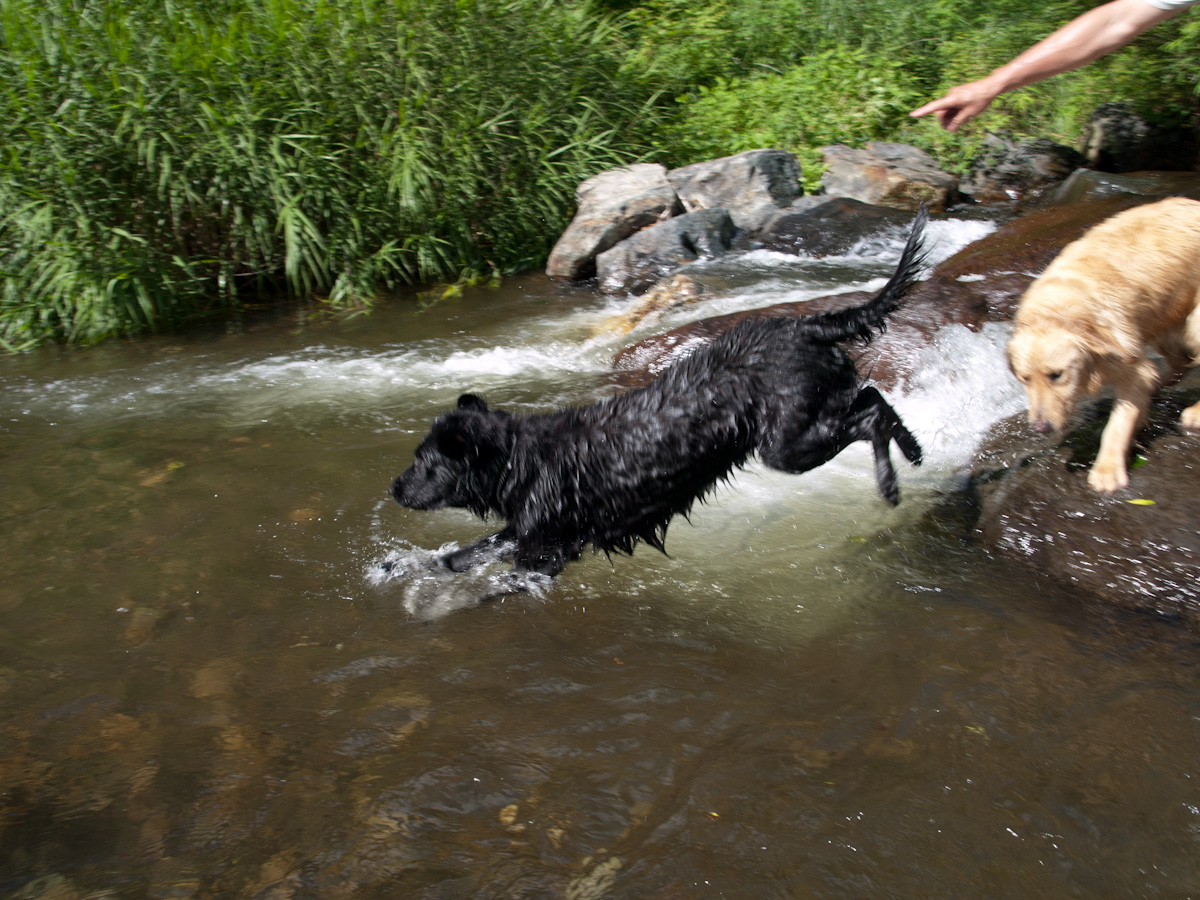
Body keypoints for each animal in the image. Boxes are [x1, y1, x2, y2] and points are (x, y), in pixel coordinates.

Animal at [393, 210, 926, 578]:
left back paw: (890, 484)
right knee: (874, 397)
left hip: (787, 445)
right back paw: (916, 451)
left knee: (870, 415)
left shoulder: (546, 551)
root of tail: (806, 325)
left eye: (425, 462)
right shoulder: (524, 532)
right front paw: (402, 567)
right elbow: (461, 556)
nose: (393, 488)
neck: (520, 461)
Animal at [1008, 196, 1200, 494]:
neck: (1057, 312)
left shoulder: (1129, 362)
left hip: (1193, 322)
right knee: (1179, 363)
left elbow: (1118, 422)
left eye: (1056, 375)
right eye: (1025, 378)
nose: (1040, 428)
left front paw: (1107, 470)